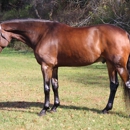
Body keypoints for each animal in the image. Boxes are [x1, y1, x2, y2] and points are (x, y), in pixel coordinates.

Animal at [0, 18, 130, 116]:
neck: (42, 34)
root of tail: (125, 33)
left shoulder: (46, 66)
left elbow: (46, 87)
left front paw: (44, 109)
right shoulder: (54, 67)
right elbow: (55, 85)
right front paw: (54, 107)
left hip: (119, 66)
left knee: (126, 83)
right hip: (110, 64)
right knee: (113, 85)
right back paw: (105, 109)